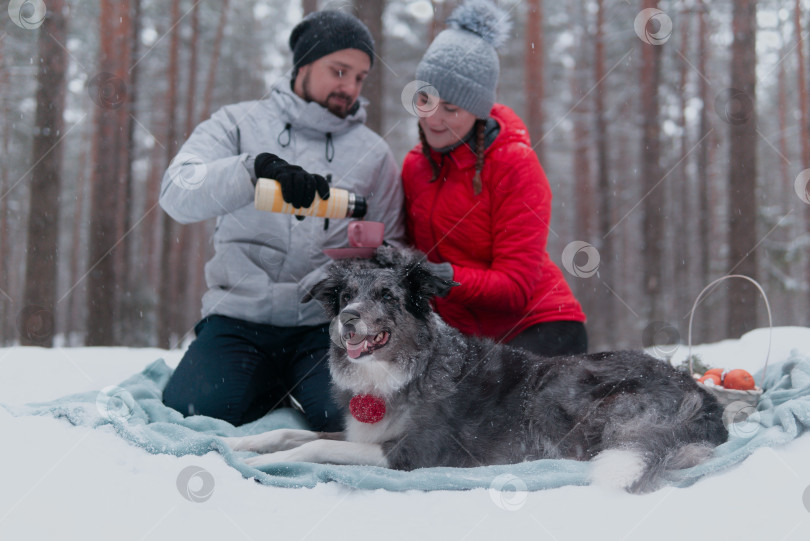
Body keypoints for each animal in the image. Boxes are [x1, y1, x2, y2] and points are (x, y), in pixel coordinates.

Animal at [226, 247, 724, 492]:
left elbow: (311, 448)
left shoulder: (411, 456)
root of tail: (702, 397)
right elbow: (292, 433)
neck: (405, 370)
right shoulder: (361, 431)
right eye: (346, 295)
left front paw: (261, 462)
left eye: (387, 296)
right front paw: (241, 442)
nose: (347, 318)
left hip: (556, 388)